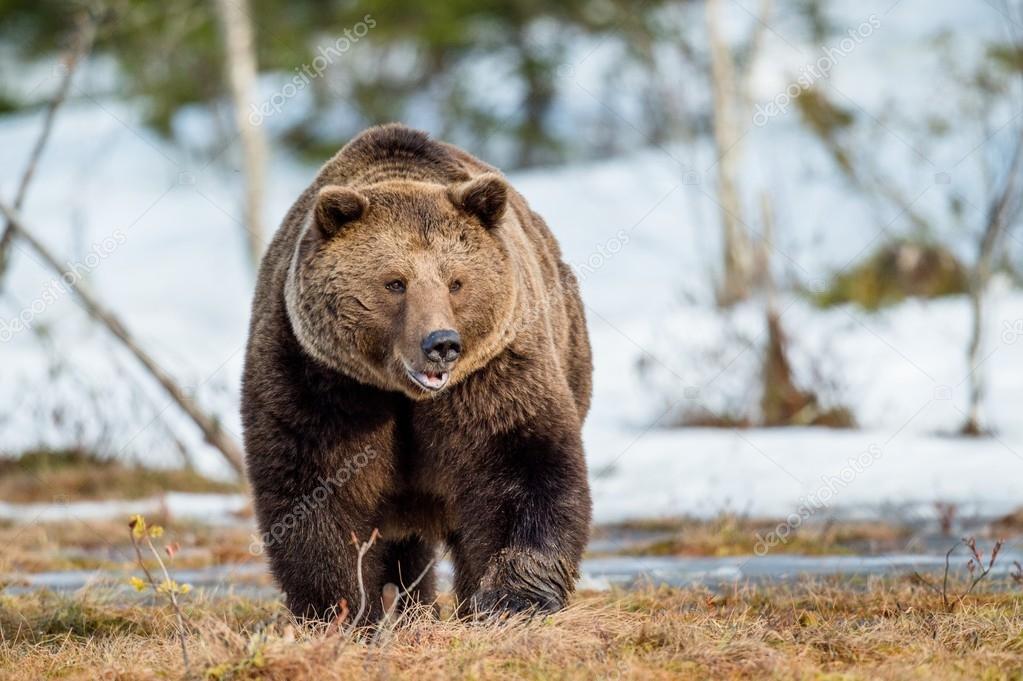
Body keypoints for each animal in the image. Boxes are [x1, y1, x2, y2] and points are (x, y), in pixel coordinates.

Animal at [240, 123, 593, 621]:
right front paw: (341, 609)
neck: (404, 395)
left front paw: (512, 600)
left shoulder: (493, 372)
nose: (441, 344)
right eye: (395, 282)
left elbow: (524, 466)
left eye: (456, 282)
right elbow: (316, 492)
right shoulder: (320, 377)